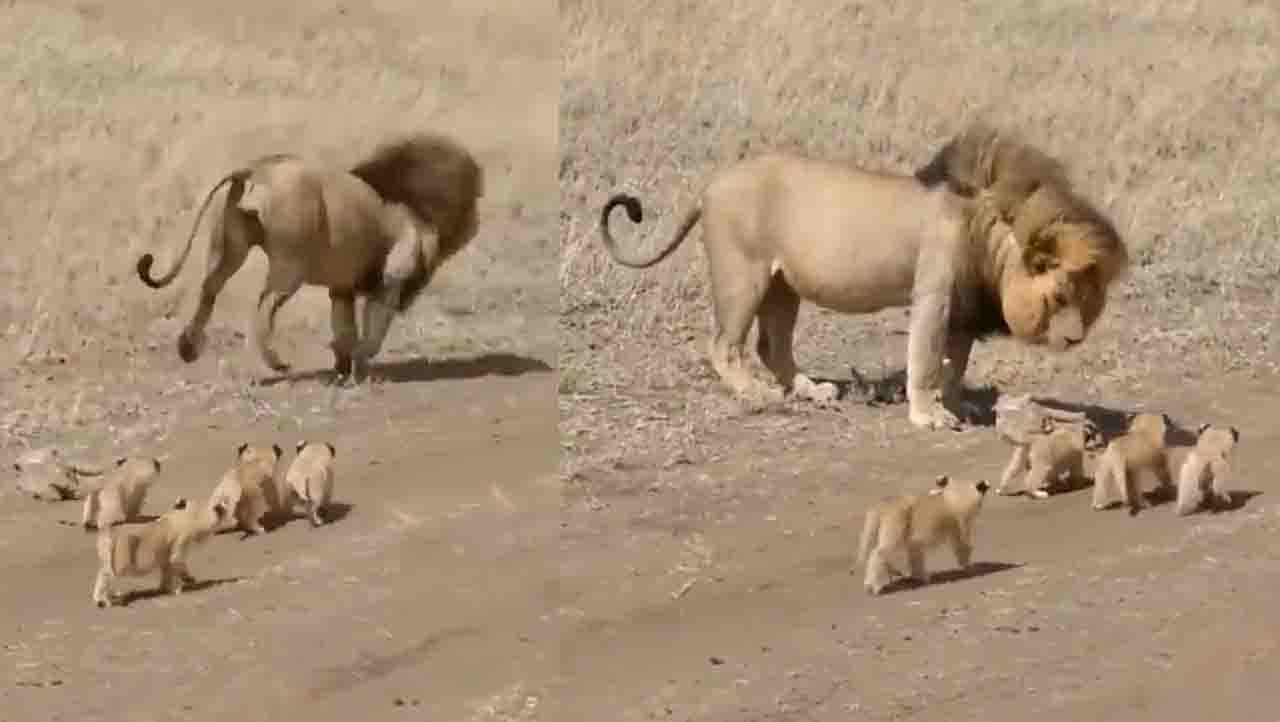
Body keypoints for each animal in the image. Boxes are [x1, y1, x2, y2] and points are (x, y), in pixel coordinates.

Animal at [135, 133, 483, 381]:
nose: (475, 222)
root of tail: (257, 168)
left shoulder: (342, 285)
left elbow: (344, 326)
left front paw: (344, 366)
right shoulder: (392, 278)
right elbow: (373, 326)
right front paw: (361, 365)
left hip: (229, 248)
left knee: (210, 288)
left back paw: (188, 347)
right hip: (291, 264)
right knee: (264, 304)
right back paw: (277, 364)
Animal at [593, 124, 1126, 427]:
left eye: (1089, 302)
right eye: (1060, 297)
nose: (1074, 339)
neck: (989, 231)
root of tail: (712, 184)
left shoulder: (962, 309)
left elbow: (955, 364)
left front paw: (956, 405)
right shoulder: (934, 291)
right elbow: (926, 357)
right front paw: (927, 415)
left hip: (783, 285)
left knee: (772, 346)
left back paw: (812, 391)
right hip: (743, 274)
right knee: (725, 345)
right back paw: (757, 394)